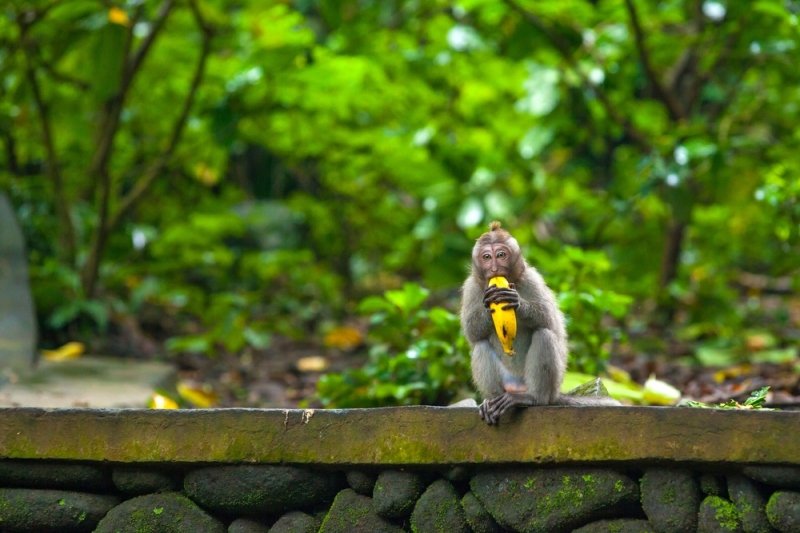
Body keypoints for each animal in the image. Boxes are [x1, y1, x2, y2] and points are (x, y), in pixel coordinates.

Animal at [462, 220, 620, 424]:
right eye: (487, 257)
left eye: (501, 255)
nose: (495, 268)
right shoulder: (471, 286)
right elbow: (471, 331)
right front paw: (489, 302)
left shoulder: (532, 279)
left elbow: (549, 319)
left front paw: (516, 302)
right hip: (507, 381)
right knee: (481, 345)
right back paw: (491, 402)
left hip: (548, 385)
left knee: (544, 335)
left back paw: (533, 398)